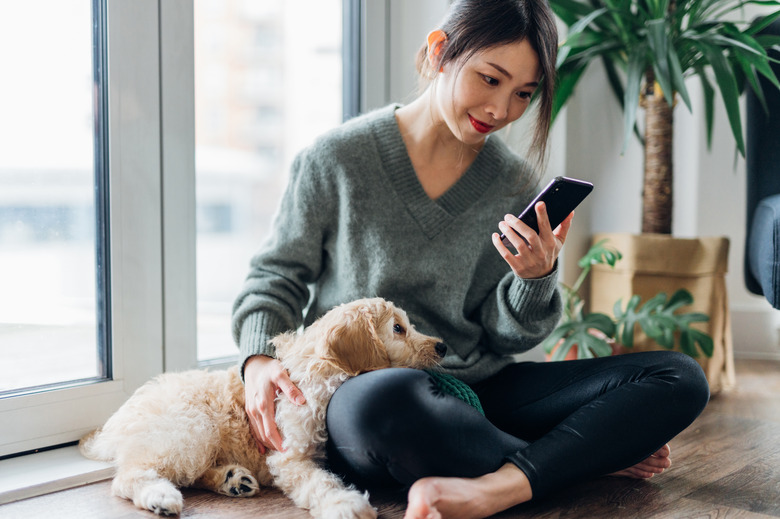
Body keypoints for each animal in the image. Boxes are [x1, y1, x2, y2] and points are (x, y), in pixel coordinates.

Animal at [80, 298, 448, 516]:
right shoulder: (289, 453)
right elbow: (320, 481)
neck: (323, 370)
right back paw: (160, 496)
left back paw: (232, 479)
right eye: (398, 328)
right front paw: (345, 502)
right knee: (130, 476)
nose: (442, 347)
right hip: (190, 429)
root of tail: (111, 429)